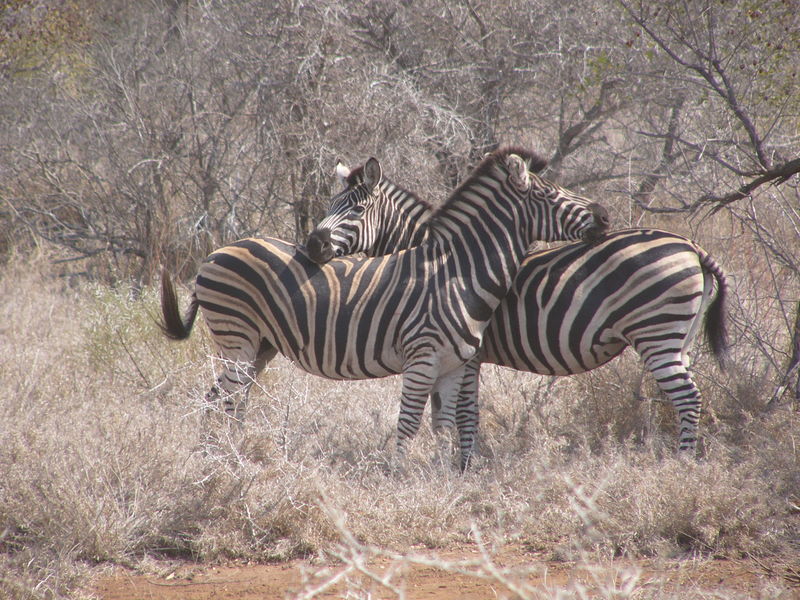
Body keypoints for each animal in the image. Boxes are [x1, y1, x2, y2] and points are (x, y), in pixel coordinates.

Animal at [162, 146, 612, 464]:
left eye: (357, 208)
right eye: (550, 193)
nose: (605, 216)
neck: (459, 273)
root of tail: (216, 252)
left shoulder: (456, 365)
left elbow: (445, 426)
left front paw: (443, 478)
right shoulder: (424, 360)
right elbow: (412, 424)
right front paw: (399, 478)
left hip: (259, 346)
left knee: (228, 401)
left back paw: (228, 459)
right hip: (236, 339)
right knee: (219, 401)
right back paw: (220, 462)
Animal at [304, 159, 728, 468]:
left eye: (357, 209)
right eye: (329, 206)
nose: (312, 244)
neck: (444, 262)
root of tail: (691, 246)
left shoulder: (468, 355)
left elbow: (464, 413)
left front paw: (464, 466)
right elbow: (446, 411)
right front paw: (455, 462)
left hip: (657, 335)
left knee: (687, 398)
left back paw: (682, 465)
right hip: (678, 337)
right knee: (690, 396)